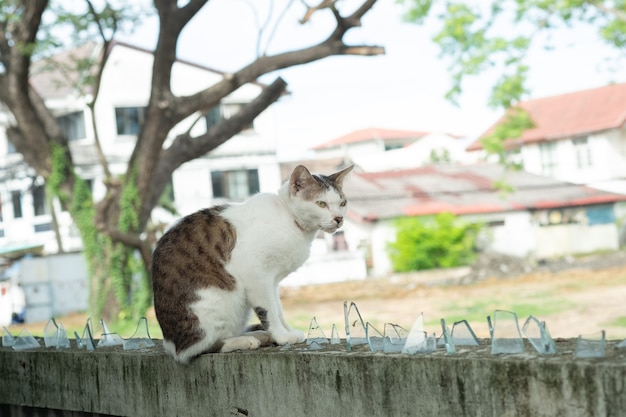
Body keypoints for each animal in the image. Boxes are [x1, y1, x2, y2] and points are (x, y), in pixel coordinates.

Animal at [151, 164, 352, 362]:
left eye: (342, 203)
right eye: (321, 203)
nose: (339, 218)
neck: (288, 219)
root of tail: (171, 345)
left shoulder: (273, 281)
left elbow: (278, 308)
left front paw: (287, 331)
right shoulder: (257, 276)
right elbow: (269, 310)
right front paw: (282, 337)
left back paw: (259, 335)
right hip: (214, 303)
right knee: (202, 348)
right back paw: (245, 340)